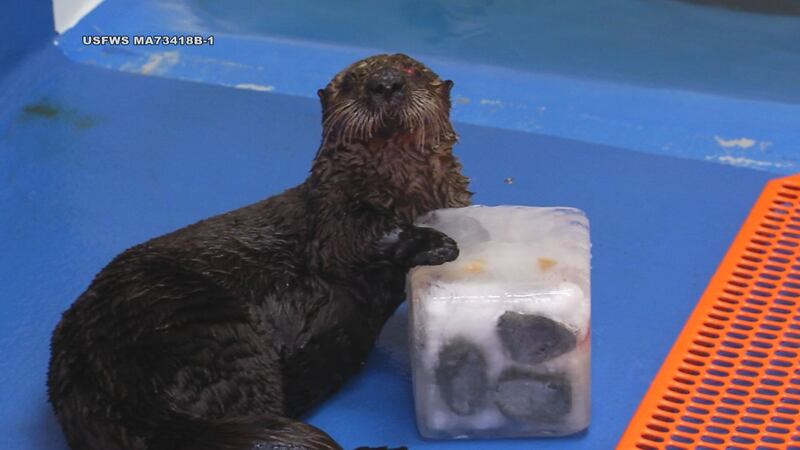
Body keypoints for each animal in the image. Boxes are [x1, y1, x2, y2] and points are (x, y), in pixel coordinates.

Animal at [47, 53, 471, 450]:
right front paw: (438, 243)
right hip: (198, 320)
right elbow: (357, 238)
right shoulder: (331, 216)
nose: (385, 83)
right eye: (353, 79)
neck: (396, 190)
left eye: (412, 70)